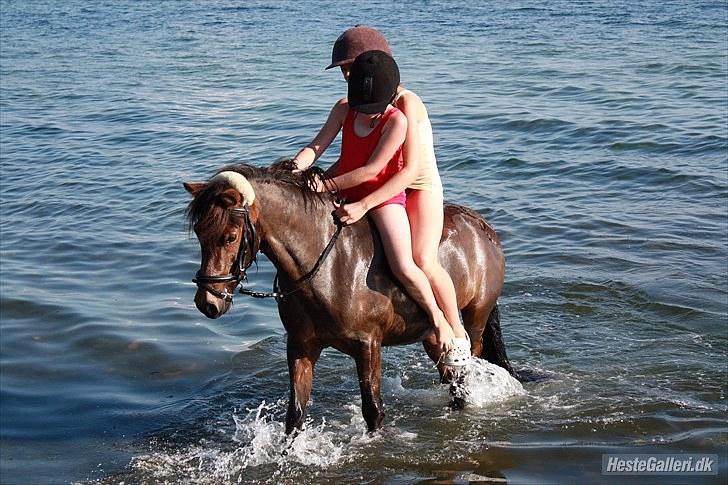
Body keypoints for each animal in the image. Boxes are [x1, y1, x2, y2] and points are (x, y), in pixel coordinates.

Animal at [185, 163, 516, 432]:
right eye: (200, 233)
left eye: (229, 237)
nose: (208, 303)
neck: (326, 266)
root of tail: (483, 228)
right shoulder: (301, 345)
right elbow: (295, 414)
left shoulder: (368, 346)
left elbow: (373, 410)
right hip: (432, 336)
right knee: (450, 378)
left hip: (475, 318)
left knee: (467, 370)